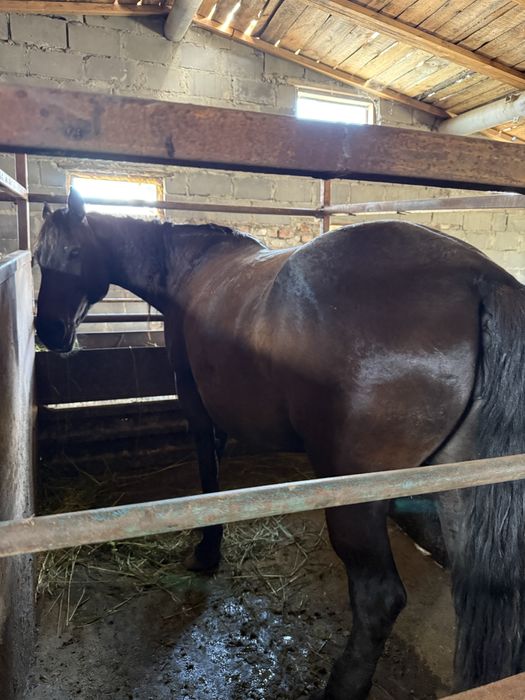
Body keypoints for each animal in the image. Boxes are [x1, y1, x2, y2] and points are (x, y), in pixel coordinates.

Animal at [34, 188, 525, 700]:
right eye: (38, 260)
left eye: (73, 253)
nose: (49, 332)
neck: (190, 267)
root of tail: (481, 279)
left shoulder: (196, 408)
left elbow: (209, 478)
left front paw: (207, 551)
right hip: (460, 490)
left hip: (357, 495)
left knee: (379, 599)